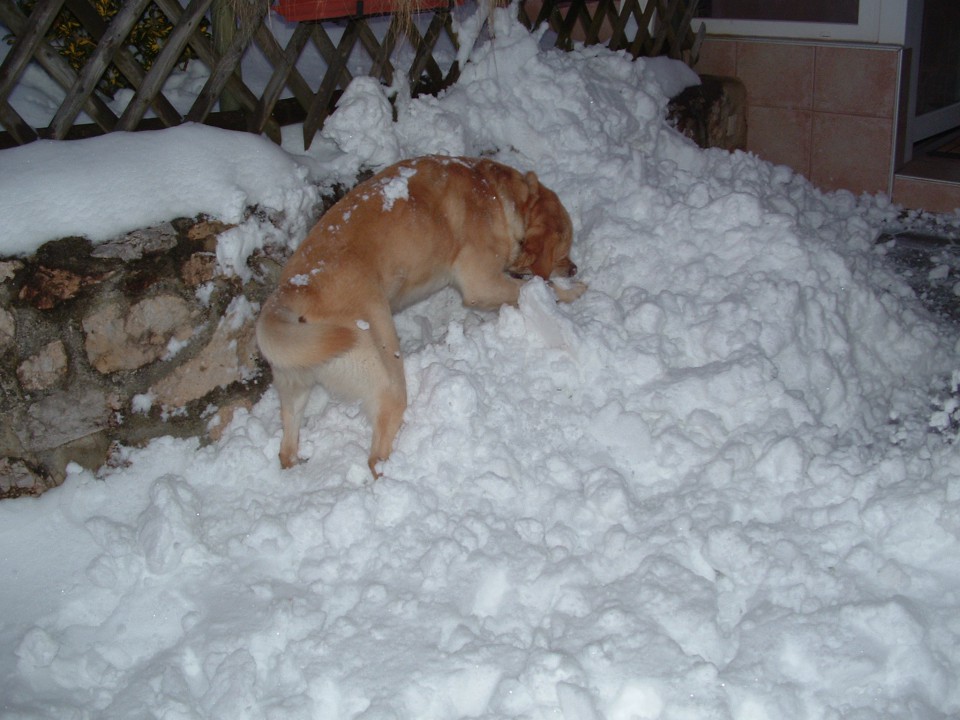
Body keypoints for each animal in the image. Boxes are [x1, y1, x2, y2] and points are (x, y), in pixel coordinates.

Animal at [255, 155, 584, 476]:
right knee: (375, 459)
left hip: (294, 385)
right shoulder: (482, 284)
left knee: (286, 448)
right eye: (565, 247)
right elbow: (537, 285)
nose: (575, 268)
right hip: (389, 379)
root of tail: (294, 289)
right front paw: (571, 292)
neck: (498, 194)